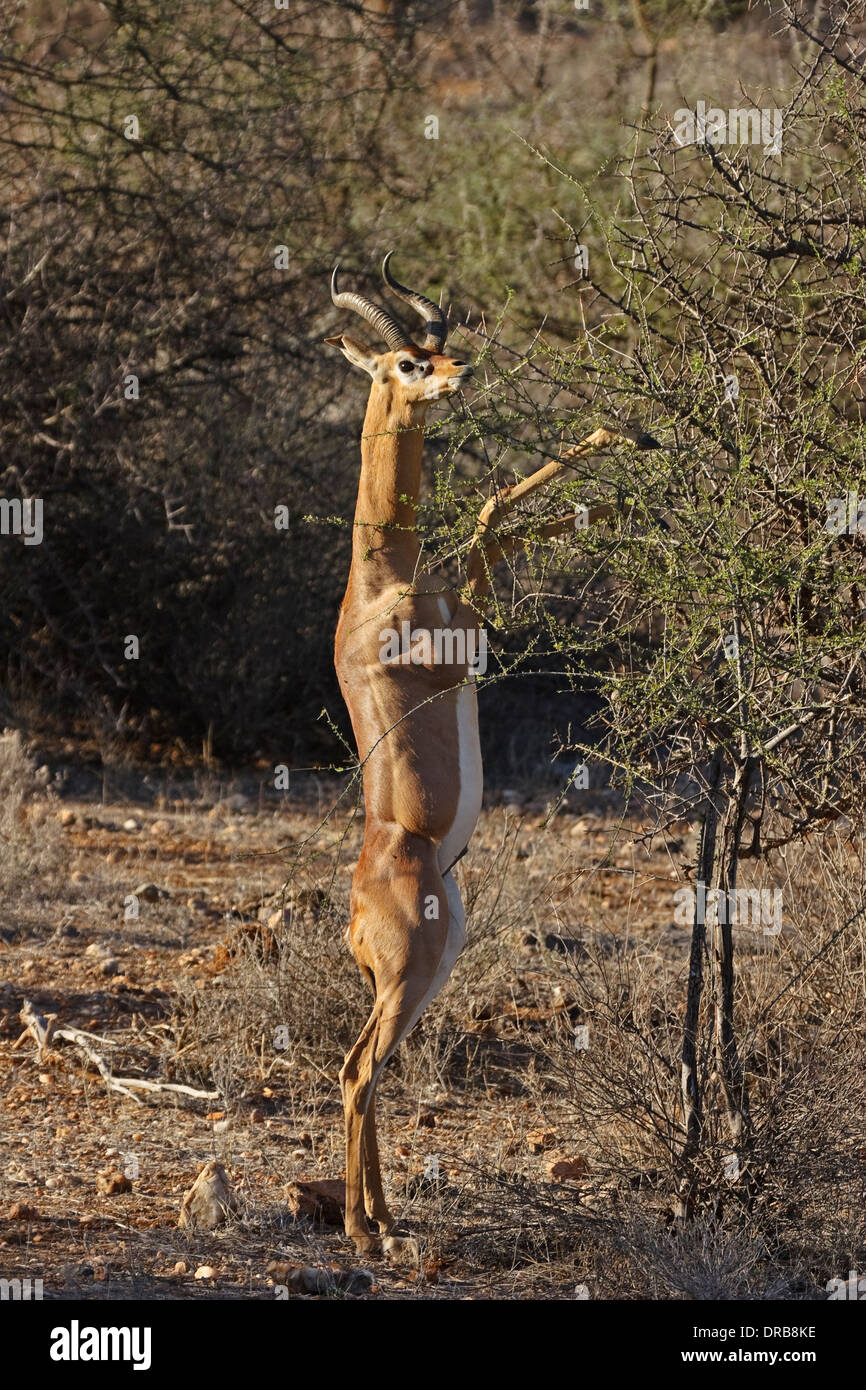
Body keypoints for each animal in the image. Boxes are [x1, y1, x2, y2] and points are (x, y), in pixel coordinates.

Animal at [325, 252, 650, 1262]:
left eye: (439, 345)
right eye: (404, 363)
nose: (461, 374)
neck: (382, 578)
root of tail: (359, 908)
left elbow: (488, 515)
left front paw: (623, 462)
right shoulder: (466, 633)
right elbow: (490, 509)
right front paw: (625, 443)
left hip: (429, 972)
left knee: (373, 1069)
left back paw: (389, 1217)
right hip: (410, 975)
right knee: (356, 1070)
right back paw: (363, 1233)